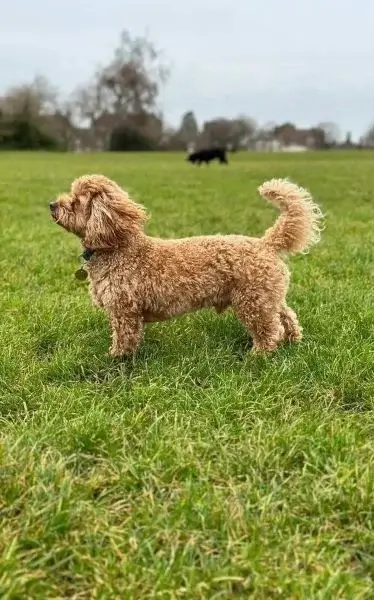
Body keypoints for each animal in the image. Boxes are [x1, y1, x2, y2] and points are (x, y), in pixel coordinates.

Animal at [50, 175, 322, 356]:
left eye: (76, 202)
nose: (52, 204)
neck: (119, 247)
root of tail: (267, 243)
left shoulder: (123, 311)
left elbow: (124, 339)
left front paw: (117, 359)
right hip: (268, 296)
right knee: (287, 316)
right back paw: (294, 340)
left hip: (252, 302)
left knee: (270, 330)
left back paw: (259, 355)